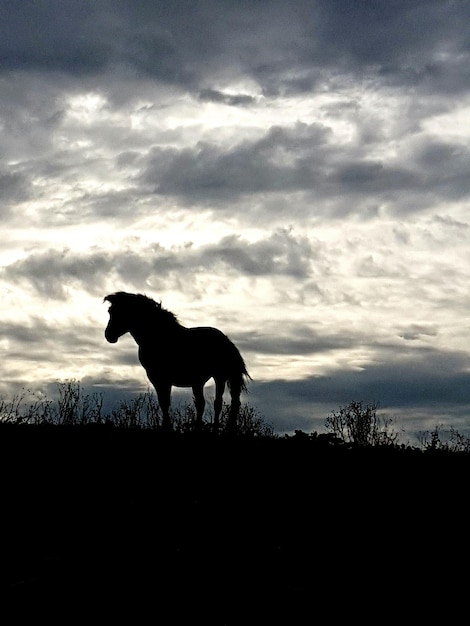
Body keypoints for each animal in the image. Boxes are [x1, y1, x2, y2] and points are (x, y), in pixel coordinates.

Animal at [103, 292, 250, 428]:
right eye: (110, 311)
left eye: (121, 311)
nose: (109, 335)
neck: (157, 335)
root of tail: (227, 341)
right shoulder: (161, 379)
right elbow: (165, 403)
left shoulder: (160, 378)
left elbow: (164, 403)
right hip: (200, 382)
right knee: (206, 403)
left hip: (219, 376)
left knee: (218, 403)